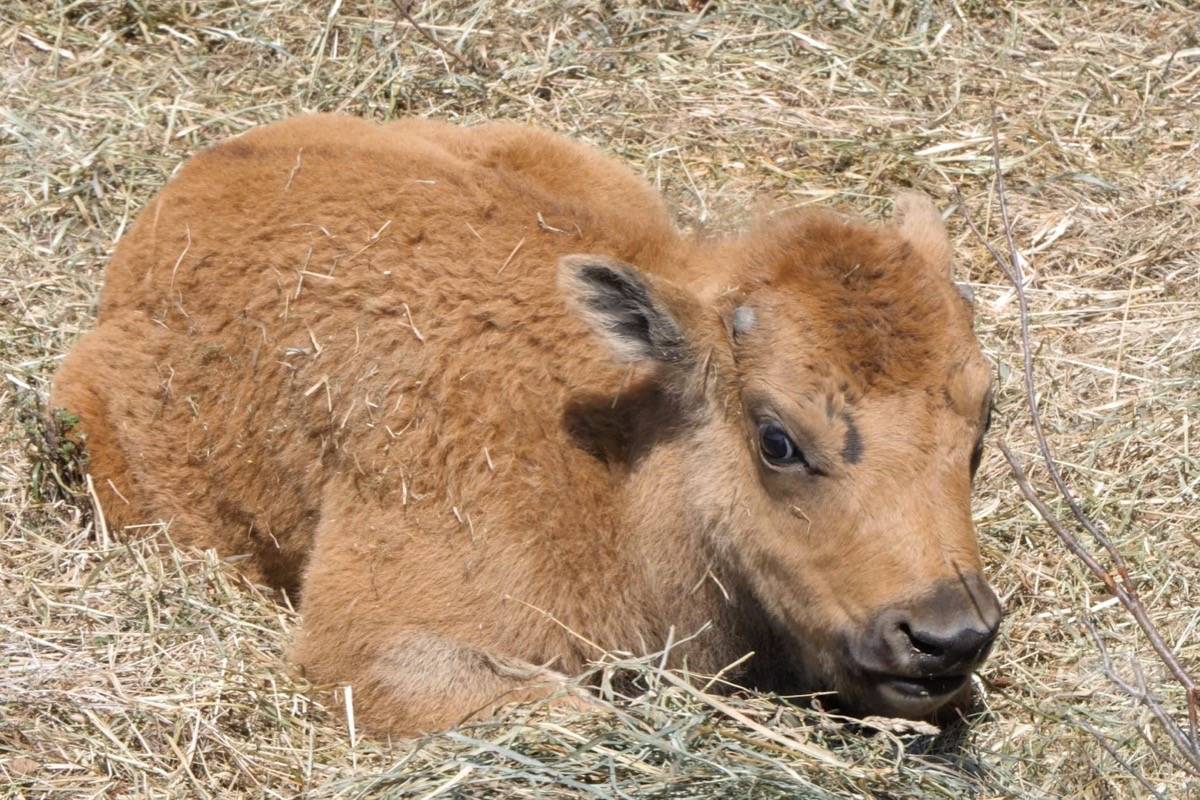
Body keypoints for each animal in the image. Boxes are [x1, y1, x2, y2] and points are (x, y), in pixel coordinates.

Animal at [51, 115, 998, 734]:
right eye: (777, 439)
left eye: (983, 425)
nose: (949, 634)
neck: (619, 462)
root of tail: (187, 189)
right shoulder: (371, 647)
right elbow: (577, 712)